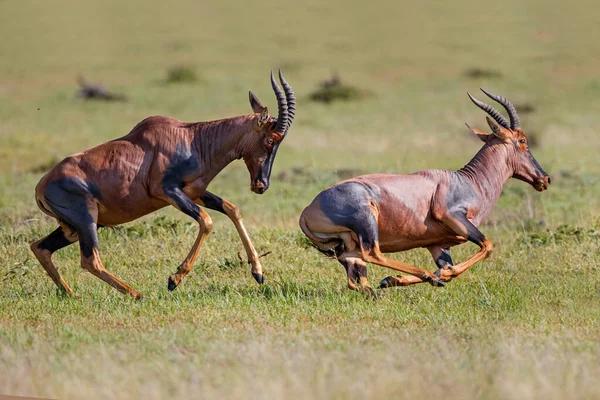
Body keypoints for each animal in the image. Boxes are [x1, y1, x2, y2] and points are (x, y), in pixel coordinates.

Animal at [29, 70, 296, 298]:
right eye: (271, 139)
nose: (261, 185)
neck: (192, 139)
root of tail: (40, 186)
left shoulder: (195, 192)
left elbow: (232, 209)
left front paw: (258, 273)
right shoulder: (168, 192)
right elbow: (207, 222)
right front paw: (174, 278)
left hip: (75, 227)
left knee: (40, 247)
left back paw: (70, 293)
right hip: (87, 220)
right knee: (90, 260)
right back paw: (137, 295)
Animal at [300, 89, 548, 296]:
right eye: (522, 140)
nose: (544, 179)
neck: (467, 181)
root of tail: (307, 211)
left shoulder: (438, 245)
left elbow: (449, 266)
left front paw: (396, 280)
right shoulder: (451, 215)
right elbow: (487, 246)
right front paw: (430, 277)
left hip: (346, 243)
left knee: (354, 275)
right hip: (366, 218)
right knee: (371, 253)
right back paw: (422, 275)